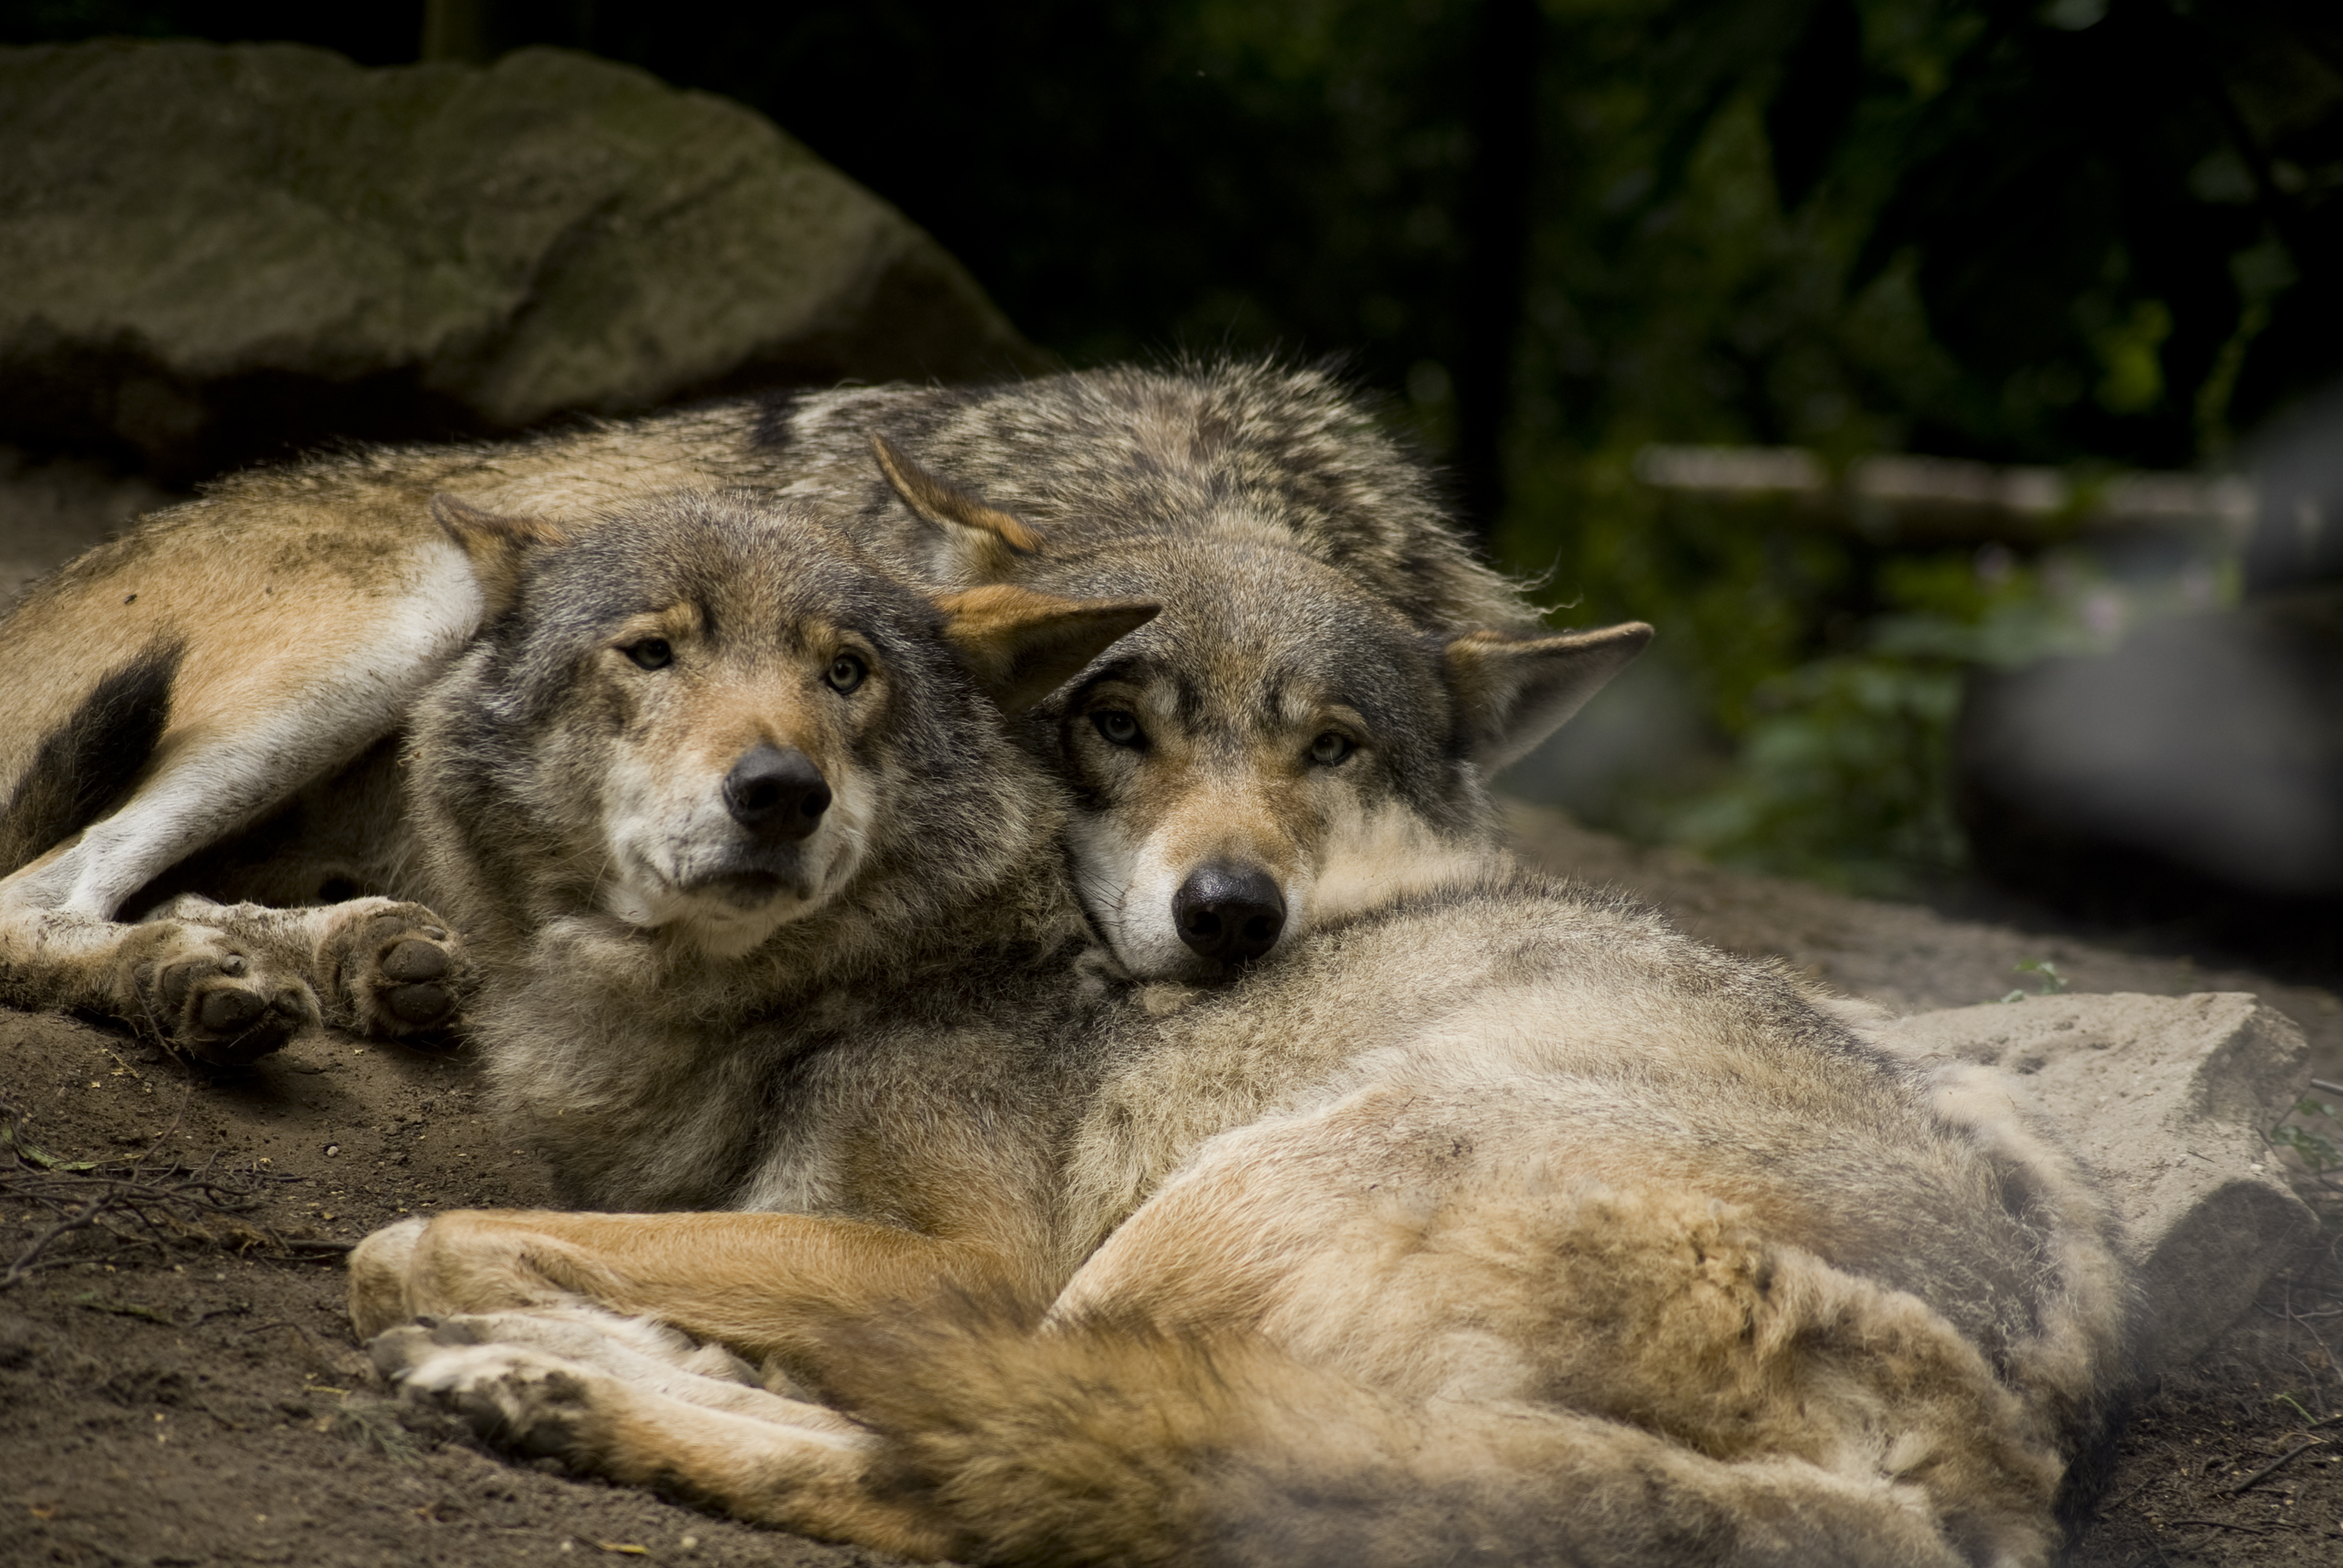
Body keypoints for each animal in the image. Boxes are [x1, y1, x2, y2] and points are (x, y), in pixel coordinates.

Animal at [4, 361, 1574, 1059]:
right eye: (1114, 723)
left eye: (1333, 750)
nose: (1232, 914)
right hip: (394, 628)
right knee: (52, 889)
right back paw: (189, 979)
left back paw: (343, 959)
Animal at [351, 504, 2146, 1566]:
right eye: (649, 654)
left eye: (847, 676)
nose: (776, 794)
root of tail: (1988, 1460)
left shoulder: (963, 1263)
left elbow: (422, 1233)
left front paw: (499, 1291)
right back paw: (549, 1377)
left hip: (1200, 1225)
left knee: (970, 1483)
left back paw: (552, 1381)